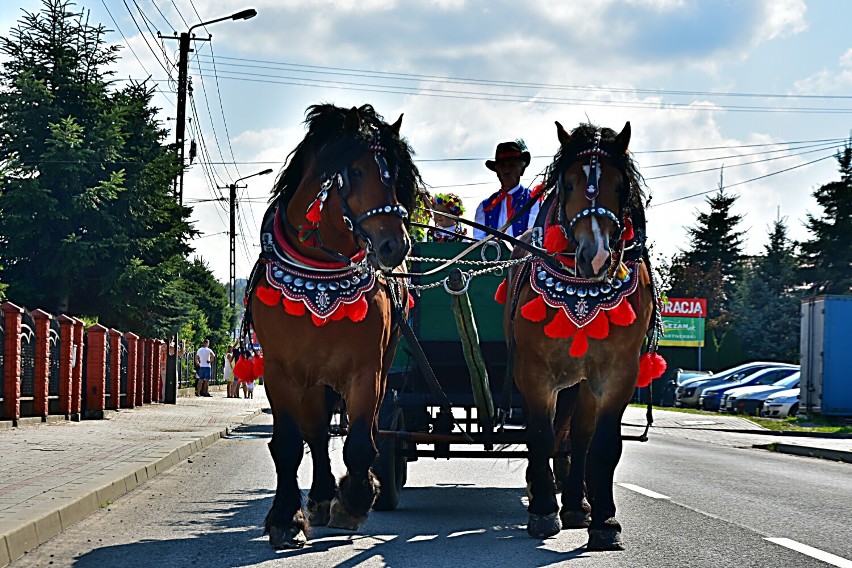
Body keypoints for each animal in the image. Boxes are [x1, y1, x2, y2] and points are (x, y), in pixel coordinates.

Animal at [246, 104, 422, 548]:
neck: (320, 273)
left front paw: (356, 501)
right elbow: (290, 443)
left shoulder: (367, 370)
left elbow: (360, 442)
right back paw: (322, 495)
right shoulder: (280, 372)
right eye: (355, 171)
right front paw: (285, 518)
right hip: (313, 378)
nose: (395, 245)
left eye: (396, 175)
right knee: (317, 432)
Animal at [506, 120, 664, 552]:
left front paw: (605, 521)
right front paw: (543, 511)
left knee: (577, 438)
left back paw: (578, 505)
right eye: (569, 183)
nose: (595, 256)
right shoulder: (533, 373)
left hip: (582, 383)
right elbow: (540, 436)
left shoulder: (617, 375)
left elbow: (602, 446)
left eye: (620, 186)